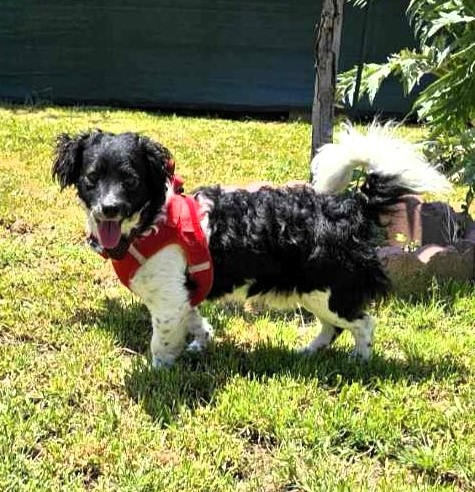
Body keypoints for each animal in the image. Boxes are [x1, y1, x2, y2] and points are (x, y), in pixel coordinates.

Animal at [52, 125, 450, 368]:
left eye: (131, 180)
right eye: (92, 178)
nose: (109, 208)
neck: (152, 223)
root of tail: (349, 206)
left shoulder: (167, 302)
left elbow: (161, 342)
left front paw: (159, 371)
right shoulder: (183, 296)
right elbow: (194, 321)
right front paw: (201, 342)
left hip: (329, 292)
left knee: (363, 323)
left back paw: (359, 361)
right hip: (315, 293)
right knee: (332, 329)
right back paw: (308, 352)